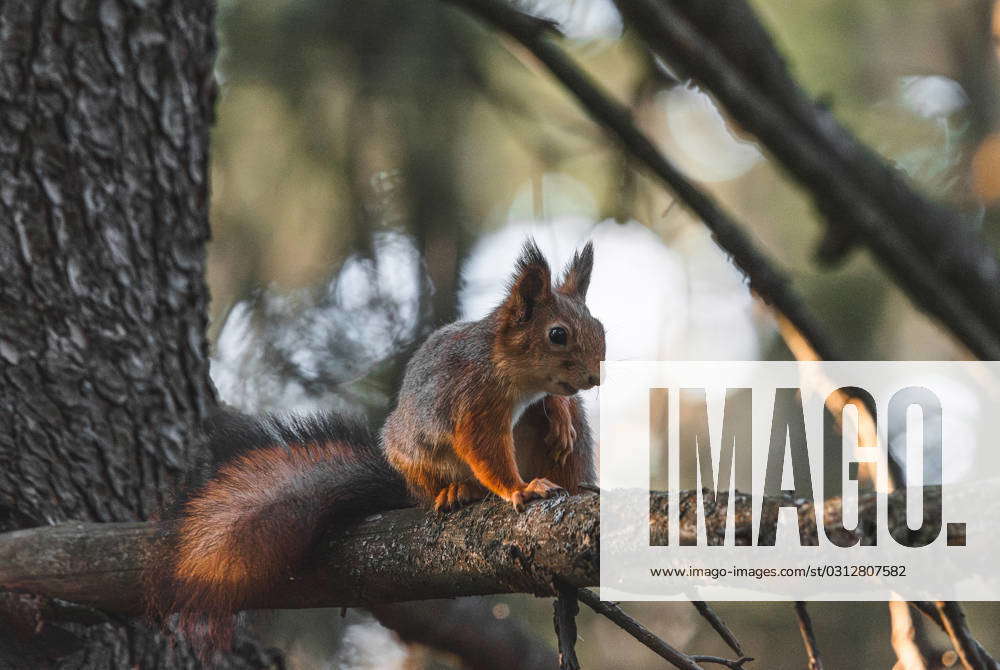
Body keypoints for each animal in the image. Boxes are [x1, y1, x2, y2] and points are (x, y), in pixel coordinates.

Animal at [146, 238, 604, 652]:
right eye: (557, 335)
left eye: (600, 327)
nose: (595, 378)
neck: (504, 364)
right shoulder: (472, 402)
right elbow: (484, 449)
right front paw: (518, 488)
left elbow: (551, 405)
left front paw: (560, 415)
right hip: (411, 452)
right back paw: (457, 490)